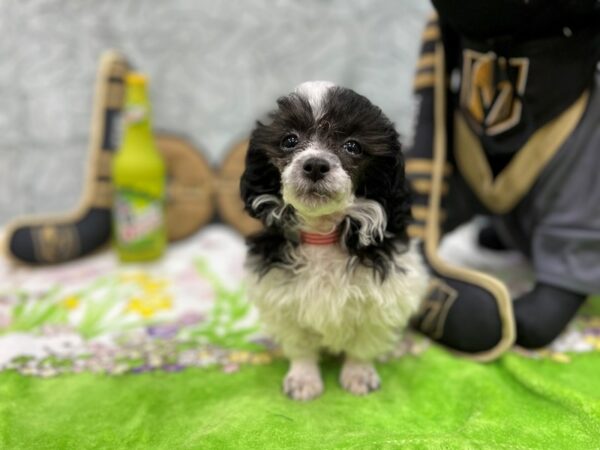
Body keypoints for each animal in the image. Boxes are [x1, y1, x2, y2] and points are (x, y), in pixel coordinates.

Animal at [239, 81, 426, 400]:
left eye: (352, 146)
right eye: (289, 140)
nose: (315, 165)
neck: (322, 234)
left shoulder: (382, 297)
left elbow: (364, 343)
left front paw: (359, 375)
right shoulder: (282, 295)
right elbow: (300, 344)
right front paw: (303, 379)